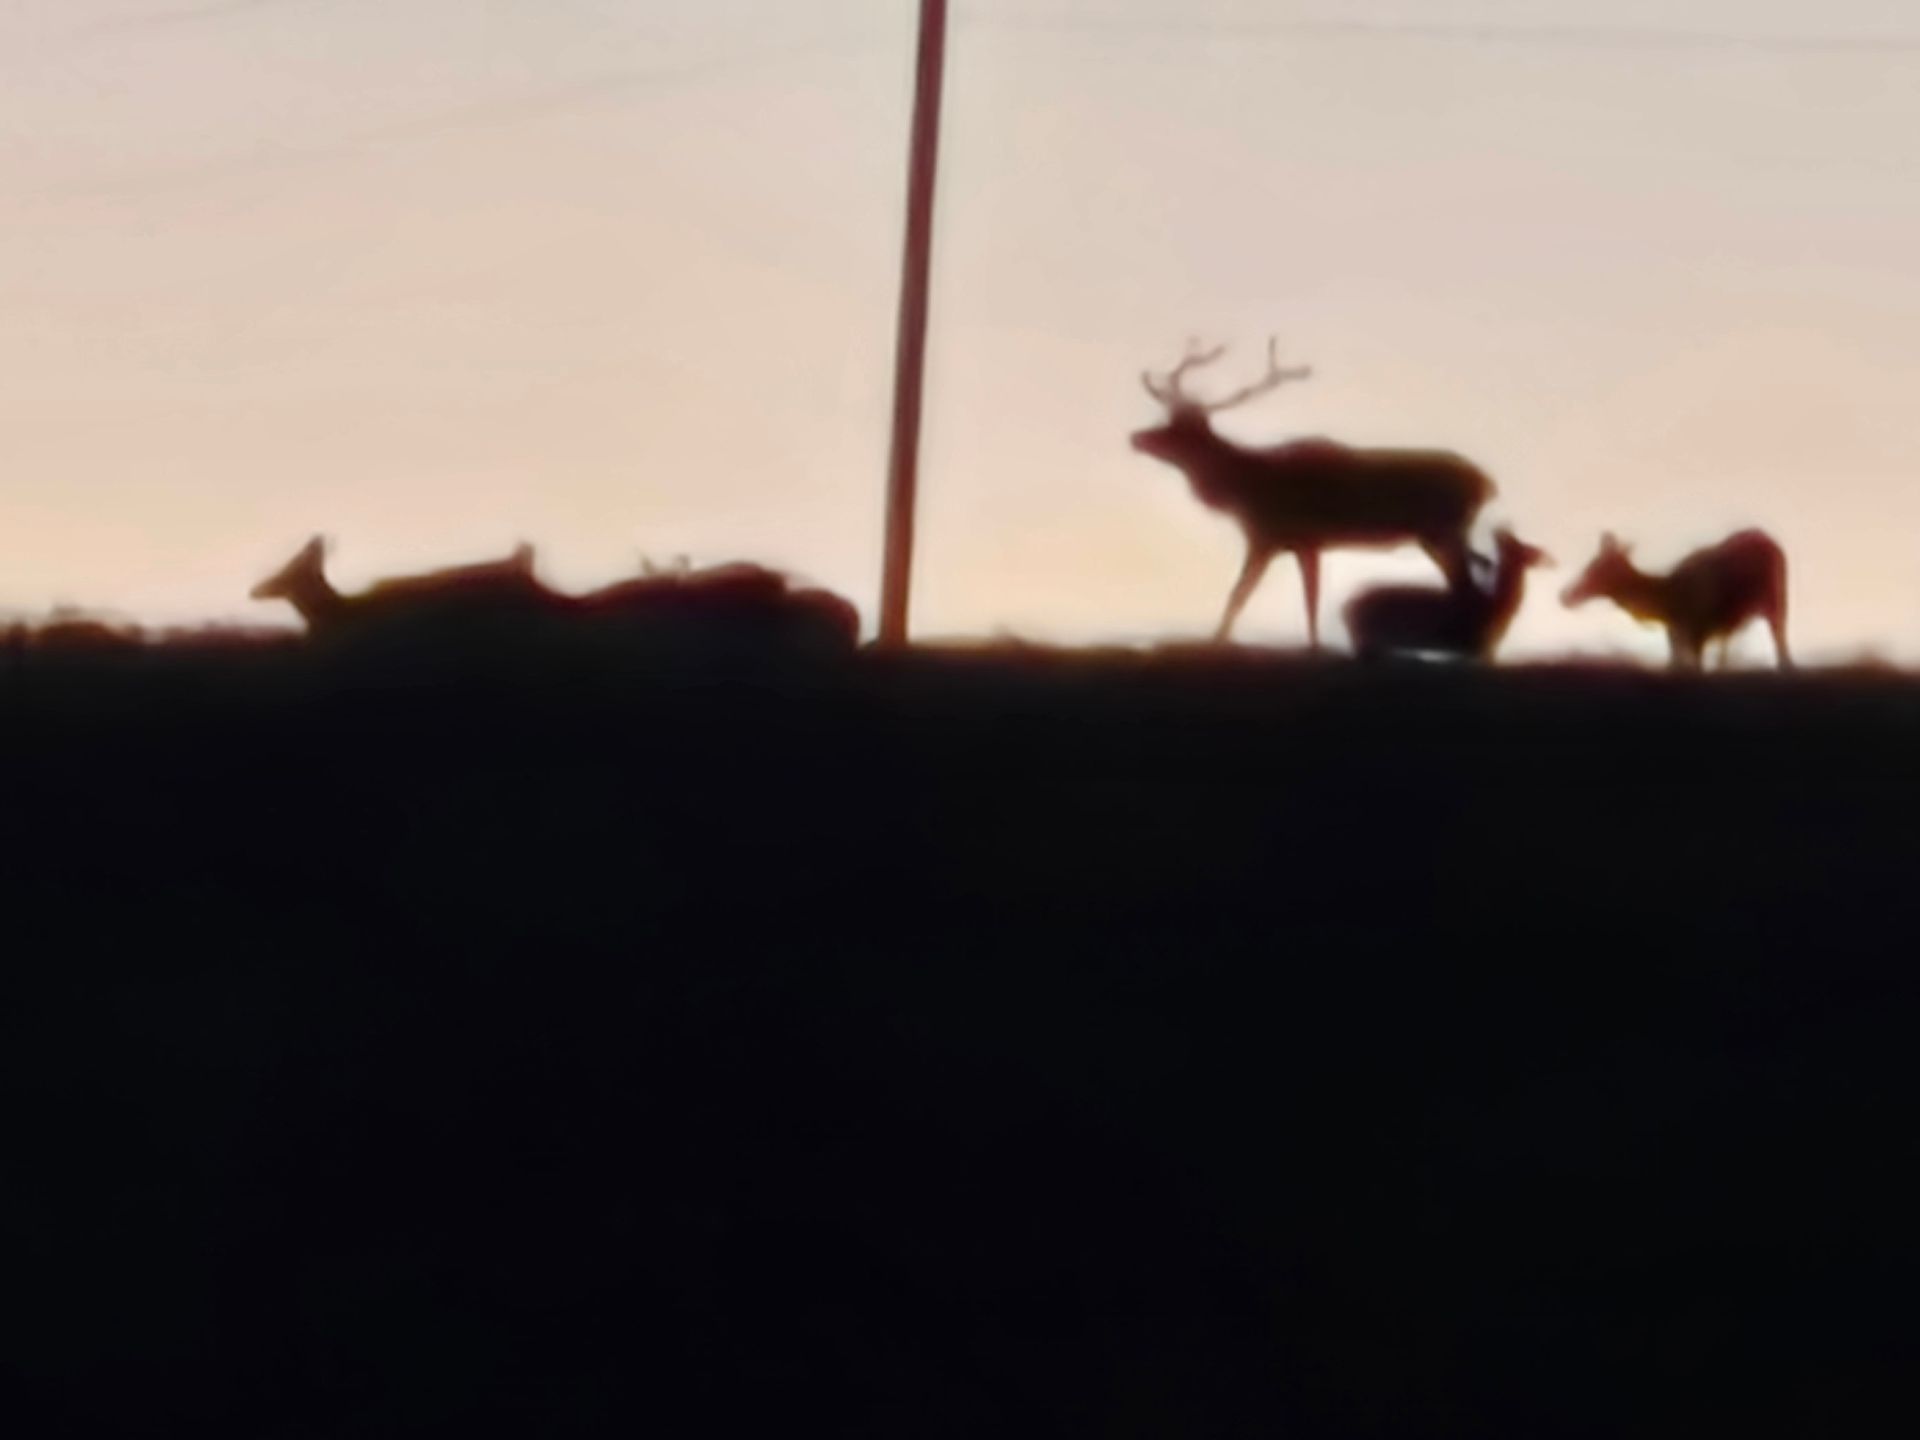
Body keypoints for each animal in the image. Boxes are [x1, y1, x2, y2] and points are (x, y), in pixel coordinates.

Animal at [1131, 338, 1498, 649]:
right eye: (1165, 419)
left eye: (1178, 430)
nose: (1137, 437)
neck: (1246, 489)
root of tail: (1487, 483)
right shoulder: (1301, 542)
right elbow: (1301, 598)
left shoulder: (1280, 537)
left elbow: (1249, 595)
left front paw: (1218, 641)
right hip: (1436, 537)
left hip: (1443, 530)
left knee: (1470, 586)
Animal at [1560, 528, 1791, 672]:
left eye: (1595, 569)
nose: (1565, 596)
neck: (1668, 606)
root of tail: (1772, 541)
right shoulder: (1675, 640)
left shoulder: (1697, 637)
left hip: (1777, 605)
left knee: (1784, 656)